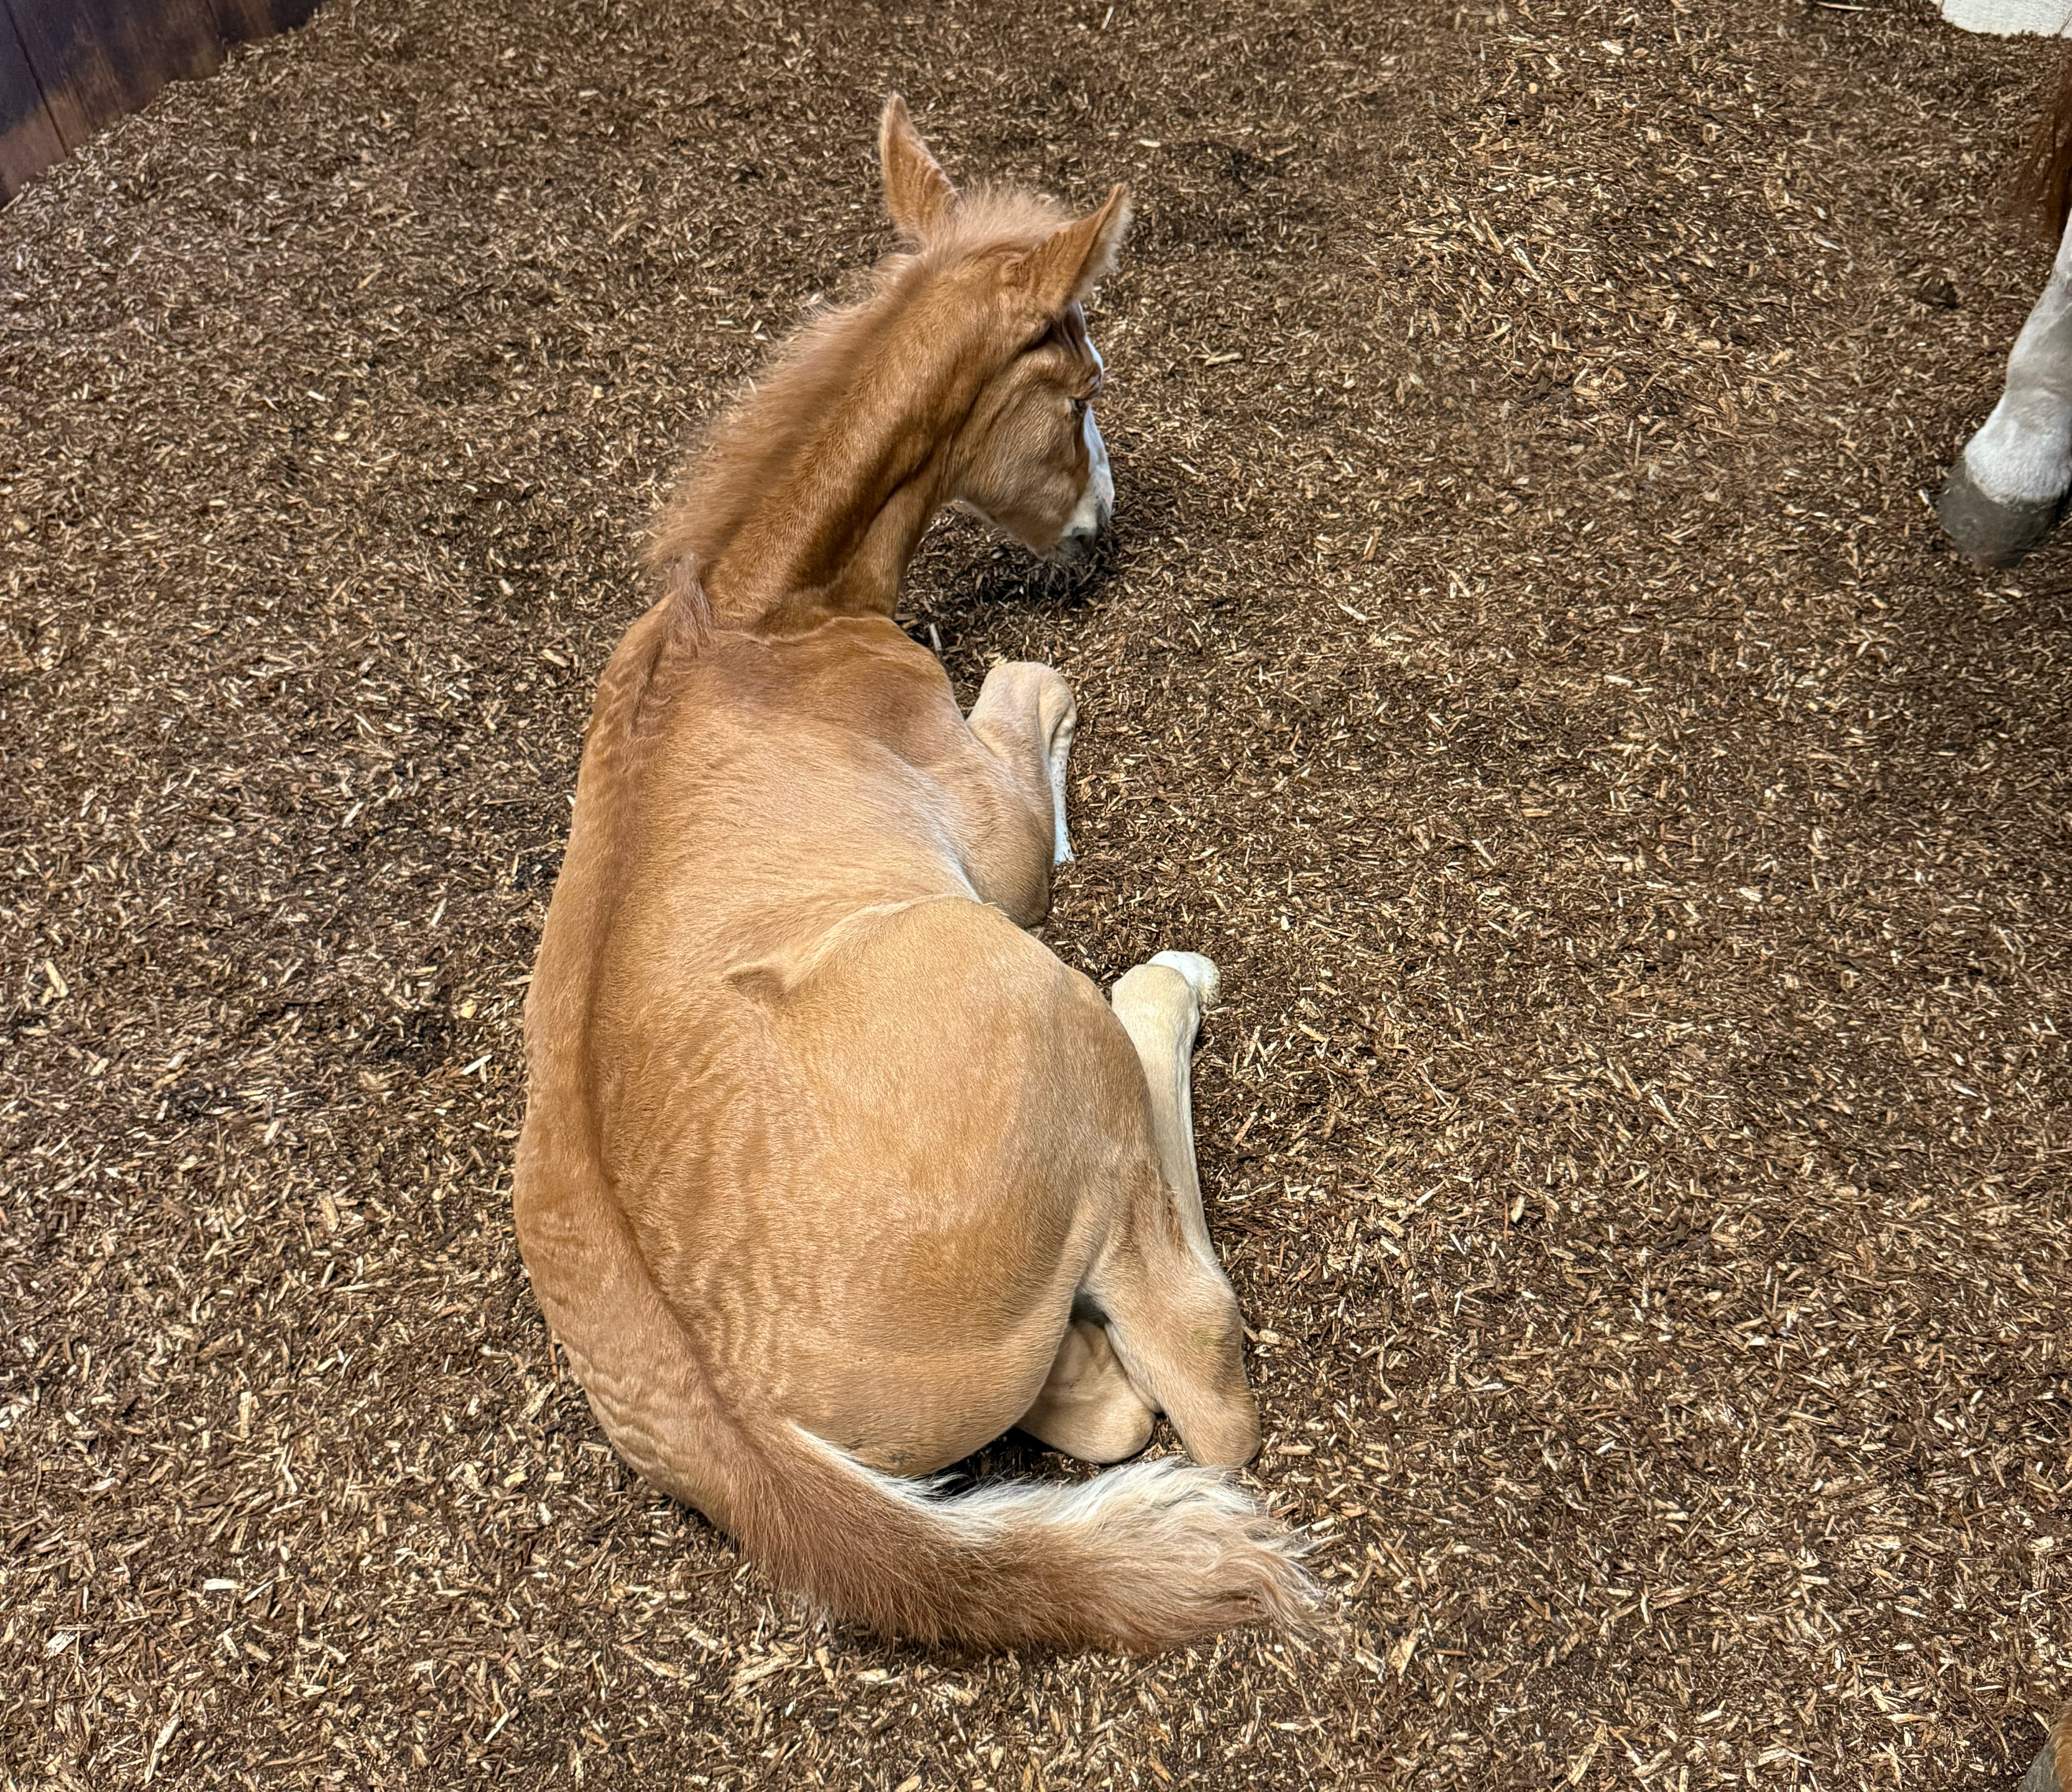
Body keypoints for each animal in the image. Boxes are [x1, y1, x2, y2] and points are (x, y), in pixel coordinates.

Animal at [510, 97, 1316, 1653]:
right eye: (1083, 386)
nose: (1097, 526)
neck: (763, 618)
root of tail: (737, 1425)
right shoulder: (986, 830)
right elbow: (1038, 684)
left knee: (1106, 1406)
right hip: (1033, 1007)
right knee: (1194, 1371)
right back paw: (1166, 989)